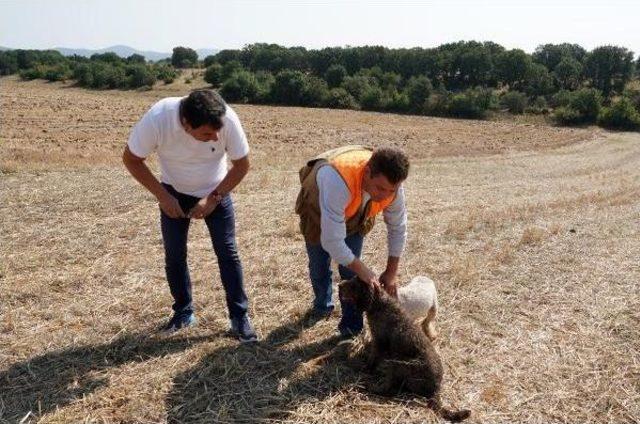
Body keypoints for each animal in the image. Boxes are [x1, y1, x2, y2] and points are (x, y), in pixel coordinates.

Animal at [340, 276, 470, 422]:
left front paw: (365, 369)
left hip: (399, 364)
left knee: (390, 389)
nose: (339, 285)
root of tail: (436, 388)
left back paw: (368, 387)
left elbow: (372, 359)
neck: (379, 304)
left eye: (354, 286)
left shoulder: (379, 342)